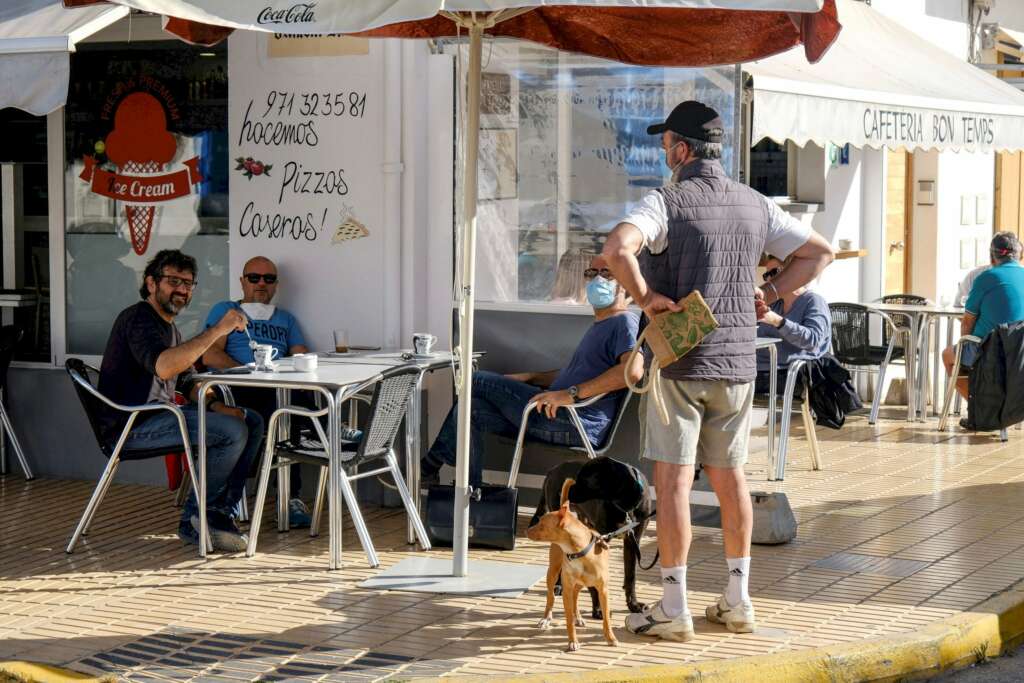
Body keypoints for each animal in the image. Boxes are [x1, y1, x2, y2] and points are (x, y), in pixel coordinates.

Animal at [528, 479, 614, 655]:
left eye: (542, 524)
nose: (527, 530)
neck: (578, 552)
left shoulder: (603, 590)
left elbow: (606, 619)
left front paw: (610, 638)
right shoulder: (566, 588)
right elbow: (568, 620)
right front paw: (573, 642)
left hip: (580, 583)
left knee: (575, 597)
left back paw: (578, 617)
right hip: (553, 573)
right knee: (551, 597)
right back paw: (546, 618)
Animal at [532, 456, 651, 618]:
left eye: (585, 479)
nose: (564, 489)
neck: (625, 507)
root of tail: (553, 469)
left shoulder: (633, 541)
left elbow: (630, 576)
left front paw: (633, 605)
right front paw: (599, 608)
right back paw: (559, 585)